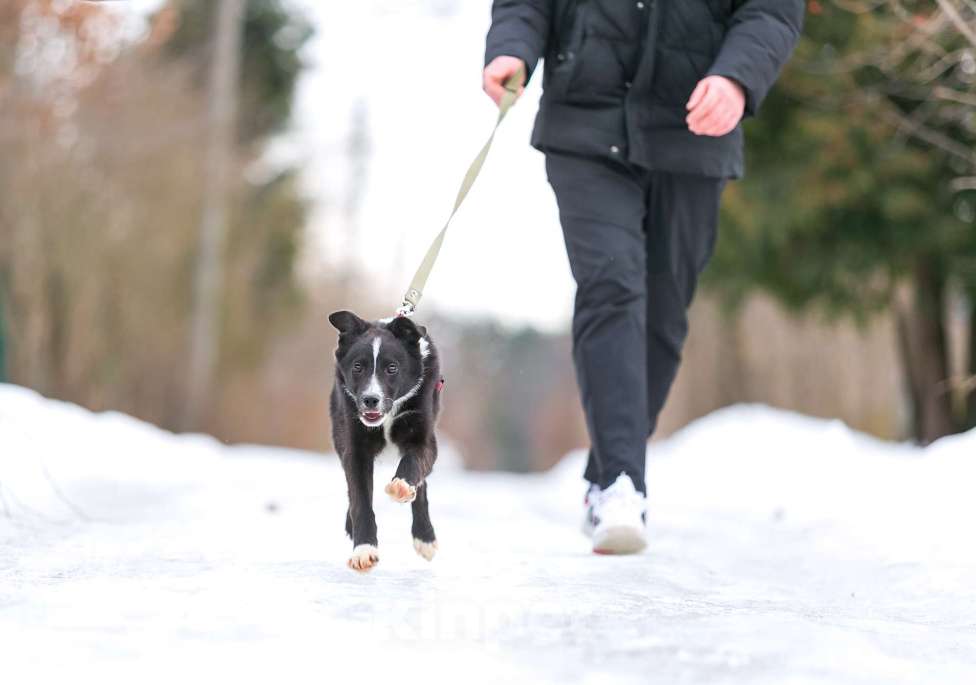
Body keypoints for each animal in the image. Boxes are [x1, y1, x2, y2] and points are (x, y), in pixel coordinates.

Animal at [328, 310, 442, 572]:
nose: (370, 400)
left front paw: (401, 486)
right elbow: (360, 500)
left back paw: (425, 537)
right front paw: (364, 550)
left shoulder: (424, 439)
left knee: (421, 485)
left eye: (392, 368)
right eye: (358, 367)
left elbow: (412, 463)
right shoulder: (355, 448)